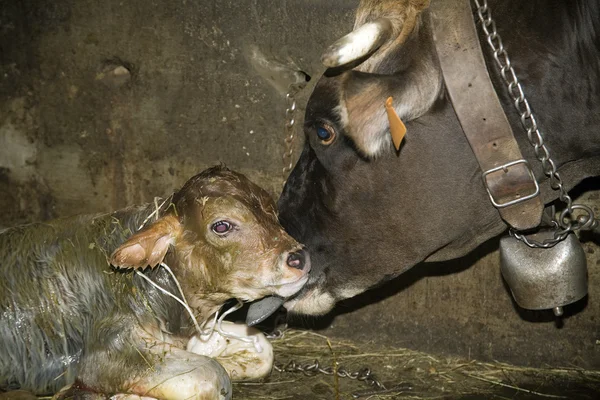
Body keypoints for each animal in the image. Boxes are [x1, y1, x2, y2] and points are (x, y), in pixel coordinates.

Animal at [0, 164, 310, 398]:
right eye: (222, 225)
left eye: (272, 211)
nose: (299, 258)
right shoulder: (105, 348)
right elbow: (211, 376)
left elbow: (261, 350)